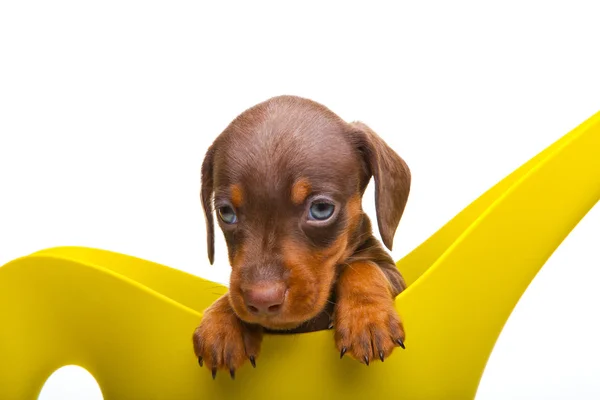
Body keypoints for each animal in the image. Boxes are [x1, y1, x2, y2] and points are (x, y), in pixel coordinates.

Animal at [195, 95, 410, 380]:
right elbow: (229, 295)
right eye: (226, 213)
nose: (262, 301)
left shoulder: (392, 272)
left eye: (321, 209)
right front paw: (220, 325)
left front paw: (367, 319)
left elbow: (364, 267)